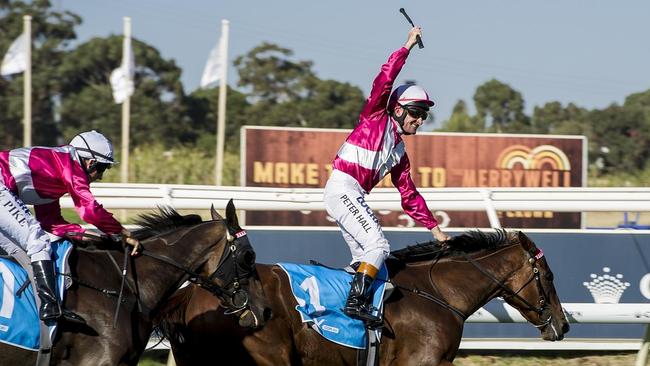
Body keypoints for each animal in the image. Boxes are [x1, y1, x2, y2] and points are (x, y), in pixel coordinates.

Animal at [157, 230, 568, 364]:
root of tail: (190, 293)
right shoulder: (421, 362)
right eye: (548, 276)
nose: (563, 325)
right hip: (270, 356)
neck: (436, 293)